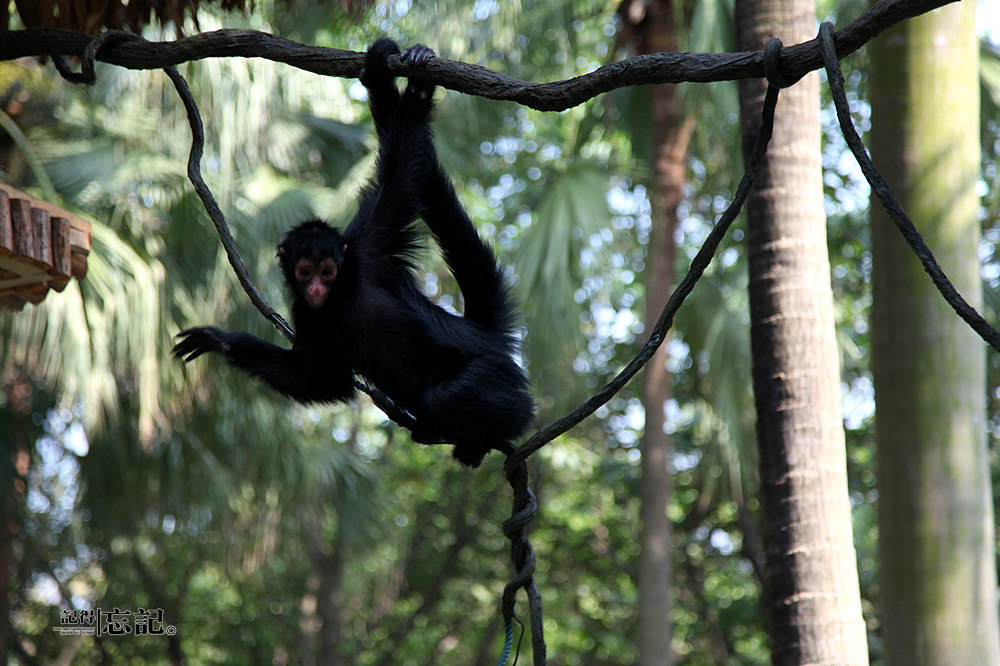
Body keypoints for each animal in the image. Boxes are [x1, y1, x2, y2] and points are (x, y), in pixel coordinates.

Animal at [176, 39, 544, 464]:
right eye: (305, 273)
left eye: (328, 271)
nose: (317, 289)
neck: (341, 293)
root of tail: (482, 334)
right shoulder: (307, 312)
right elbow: (320, 381)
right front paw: (219, 341)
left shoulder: (369, 245)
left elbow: (400, 173)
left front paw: (418, 88)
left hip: (495, 374)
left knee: (446, 396)